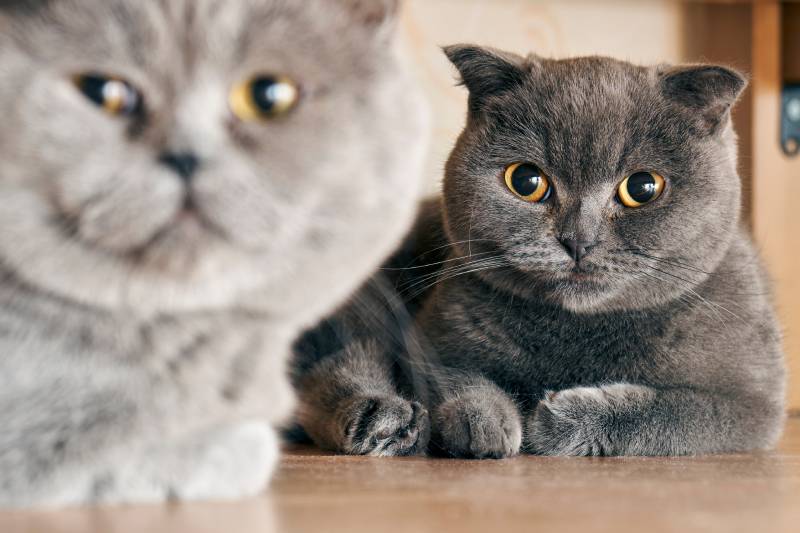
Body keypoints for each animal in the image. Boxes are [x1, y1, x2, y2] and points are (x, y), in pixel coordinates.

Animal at [290, 44, 784, 458]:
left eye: (643, 187)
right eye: (526, 181)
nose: (578, 239)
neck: (577, 333)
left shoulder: (754, 405)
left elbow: (674, 412)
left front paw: (561, 420)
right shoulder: (432, 337)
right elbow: (455, 375)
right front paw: (483, 421)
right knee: (336, 365)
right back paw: (383, 419)